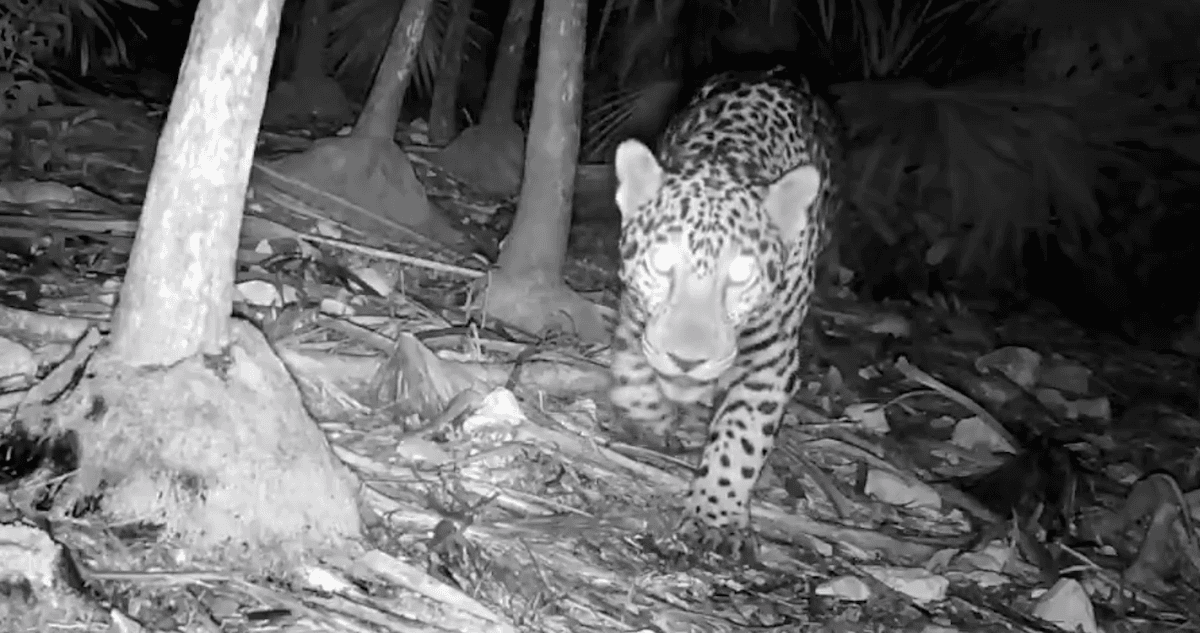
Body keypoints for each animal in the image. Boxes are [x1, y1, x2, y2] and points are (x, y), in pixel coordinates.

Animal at [608, 66, 841, 557]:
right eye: (662, 261)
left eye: (741, 273)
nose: (687, 359)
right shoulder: (635, 306)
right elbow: (630, 359)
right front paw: (645, 418)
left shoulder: (772, 356)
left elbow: (742, 436)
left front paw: (714, 517)